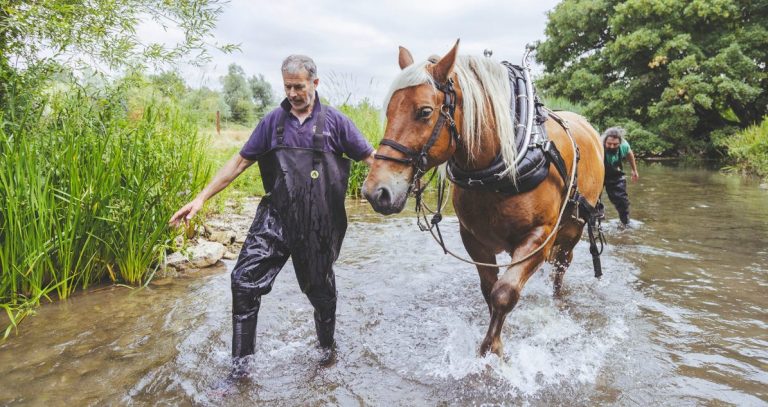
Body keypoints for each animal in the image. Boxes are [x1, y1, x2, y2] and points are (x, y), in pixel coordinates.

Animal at [362, 40, 605, 357]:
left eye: (425, 111)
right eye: (389, 111)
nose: (375, 191)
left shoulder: (540, 237)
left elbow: (505, 293)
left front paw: (492, 349)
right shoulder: (473, 238)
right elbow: (490, 290)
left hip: (573, 229)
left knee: (561, 268)